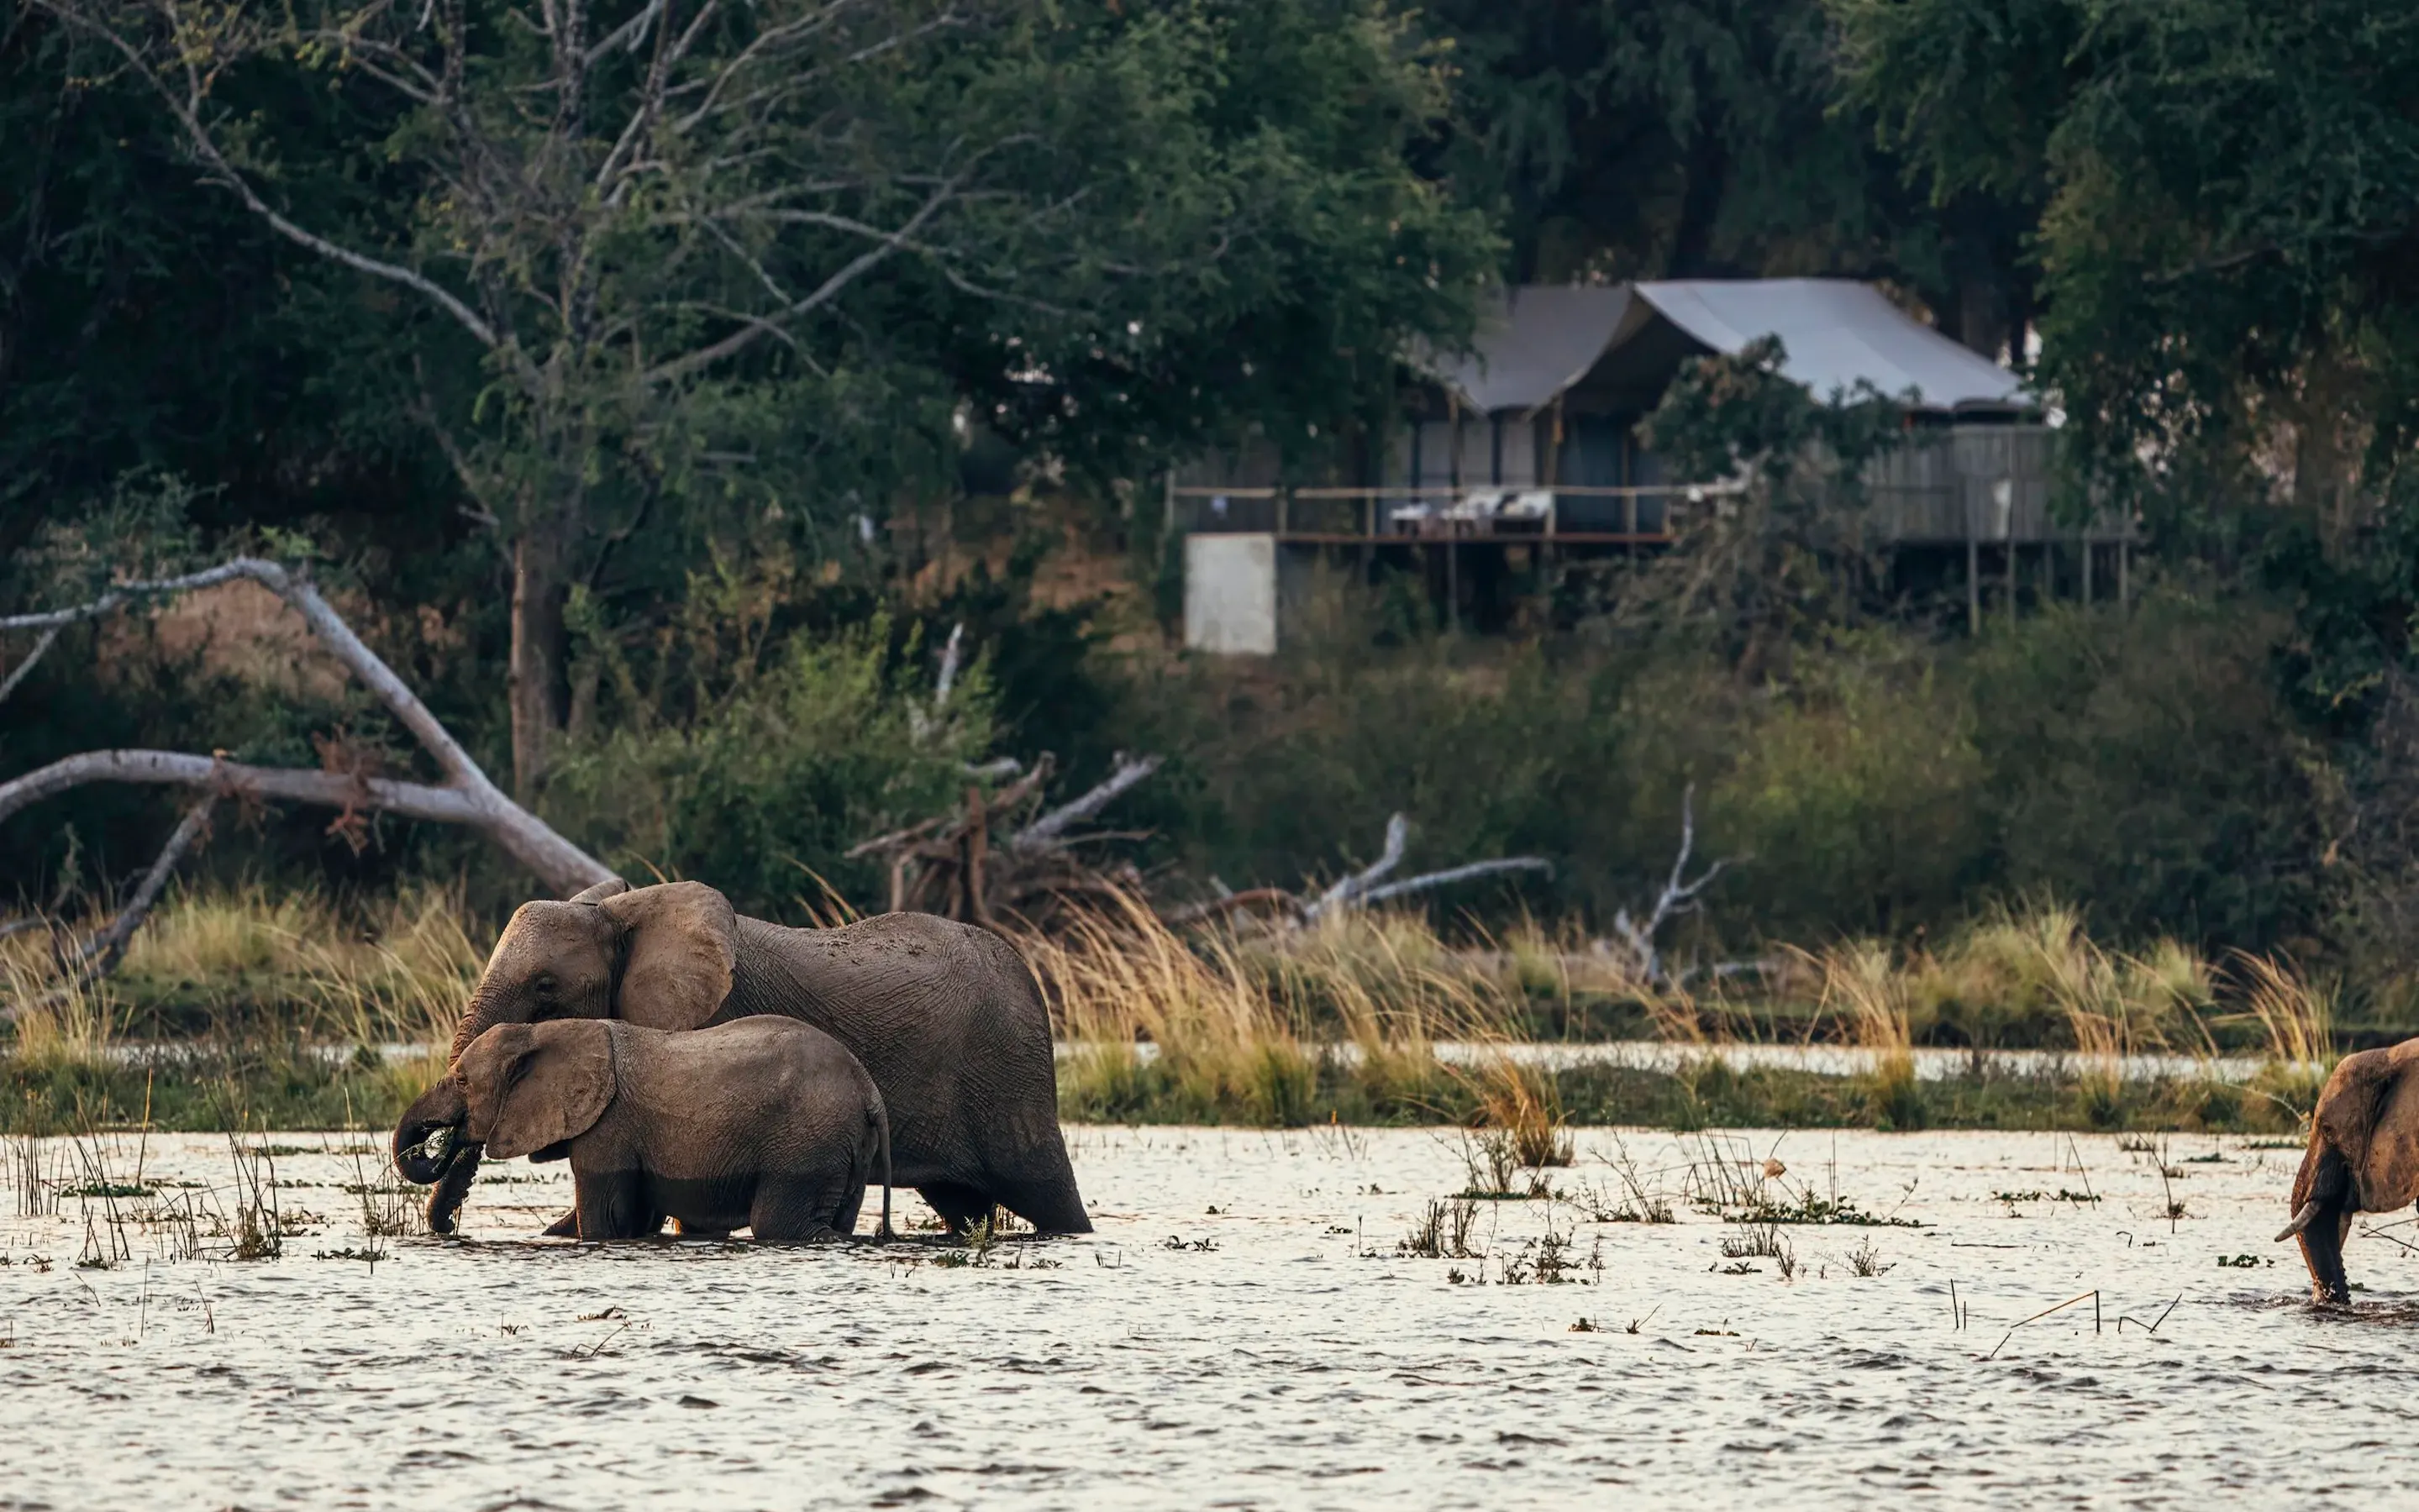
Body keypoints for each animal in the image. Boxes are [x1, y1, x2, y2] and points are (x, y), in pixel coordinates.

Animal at [401, 1017, 893, 1242]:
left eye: (462, 1081)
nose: (452, 1230)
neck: (541, 1032)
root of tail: (869, 1090)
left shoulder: (608, 1129)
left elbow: (604, 1217)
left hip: (807, 1141)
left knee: (778, 1224)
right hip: (845, 1144)